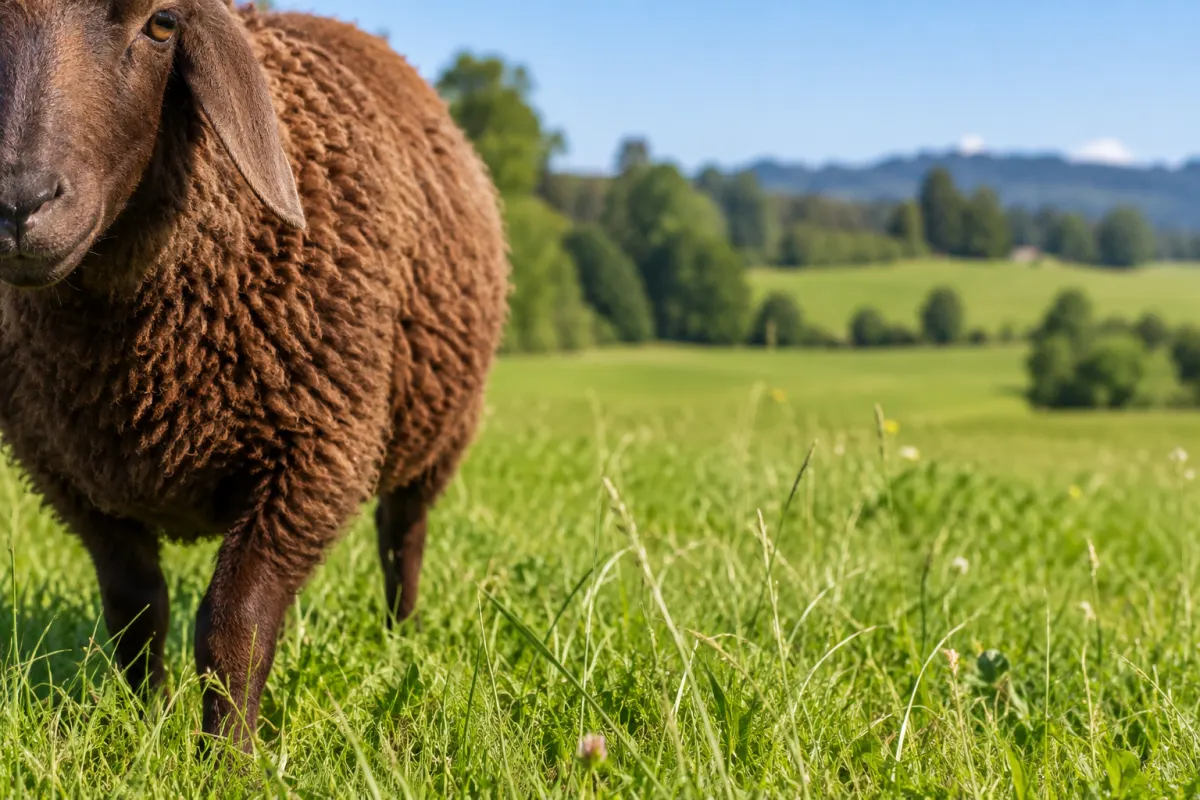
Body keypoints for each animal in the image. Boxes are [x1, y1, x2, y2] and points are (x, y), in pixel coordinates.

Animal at [0, 0, 509, 751]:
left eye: (162, 23)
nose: (17, 204)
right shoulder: (69, 477)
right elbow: (135, 611)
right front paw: (146, 726)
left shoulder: (315, 456)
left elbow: (233, 623)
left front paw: (225, 758)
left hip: (438, 432)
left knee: (402, 539)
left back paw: (402, 637)